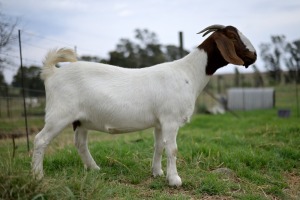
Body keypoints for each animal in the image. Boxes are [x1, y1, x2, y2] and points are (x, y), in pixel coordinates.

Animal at [33, 24, 258, 186]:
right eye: (233, 36)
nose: (254, 55)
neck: (189, 73)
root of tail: (51, 73)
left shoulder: (159, 122)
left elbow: (159, 146)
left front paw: (157, 172)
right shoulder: (170, 119)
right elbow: (172, 149)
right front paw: (175, 180)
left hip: (81, 120)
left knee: (80, 143)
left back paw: (94, 169)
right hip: (59, 114)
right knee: (40, 140)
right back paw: (38, 176)